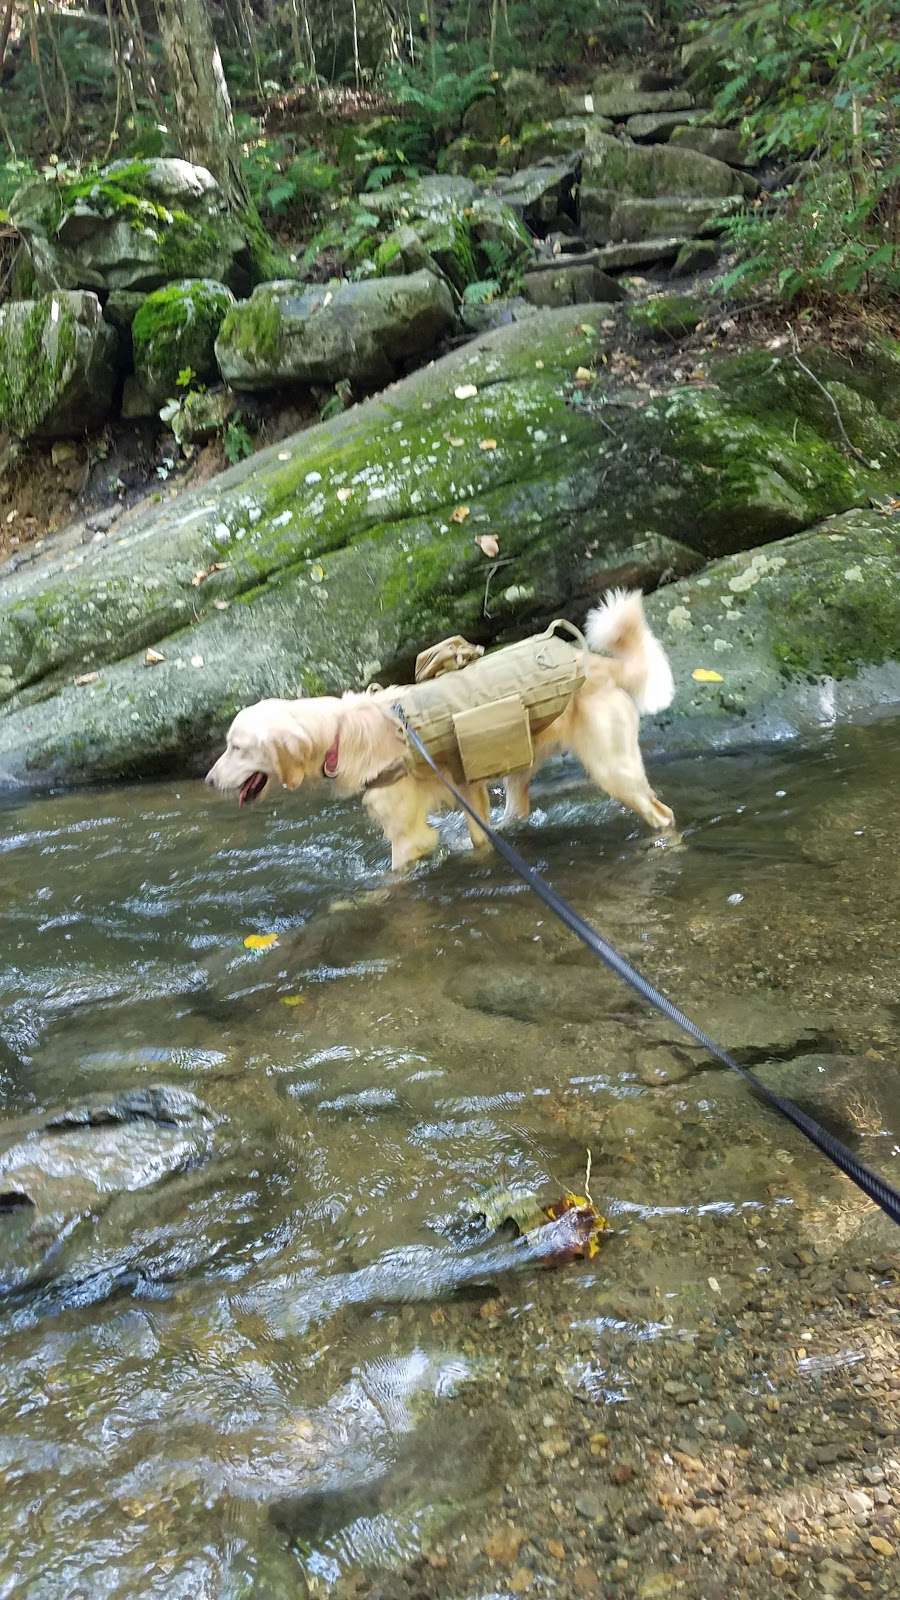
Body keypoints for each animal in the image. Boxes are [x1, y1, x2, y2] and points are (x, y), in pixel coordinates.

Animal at [204, 588, 672, 870]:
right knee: (515, 811)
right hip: (516, 764)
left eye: (237, 747)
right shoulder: (468, 792)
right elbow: (476, 834)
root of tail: (598, 663)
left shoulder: (409, 835)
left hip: (613, 769)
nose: (207, 781)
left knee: (660, 812)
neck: (338, 732)